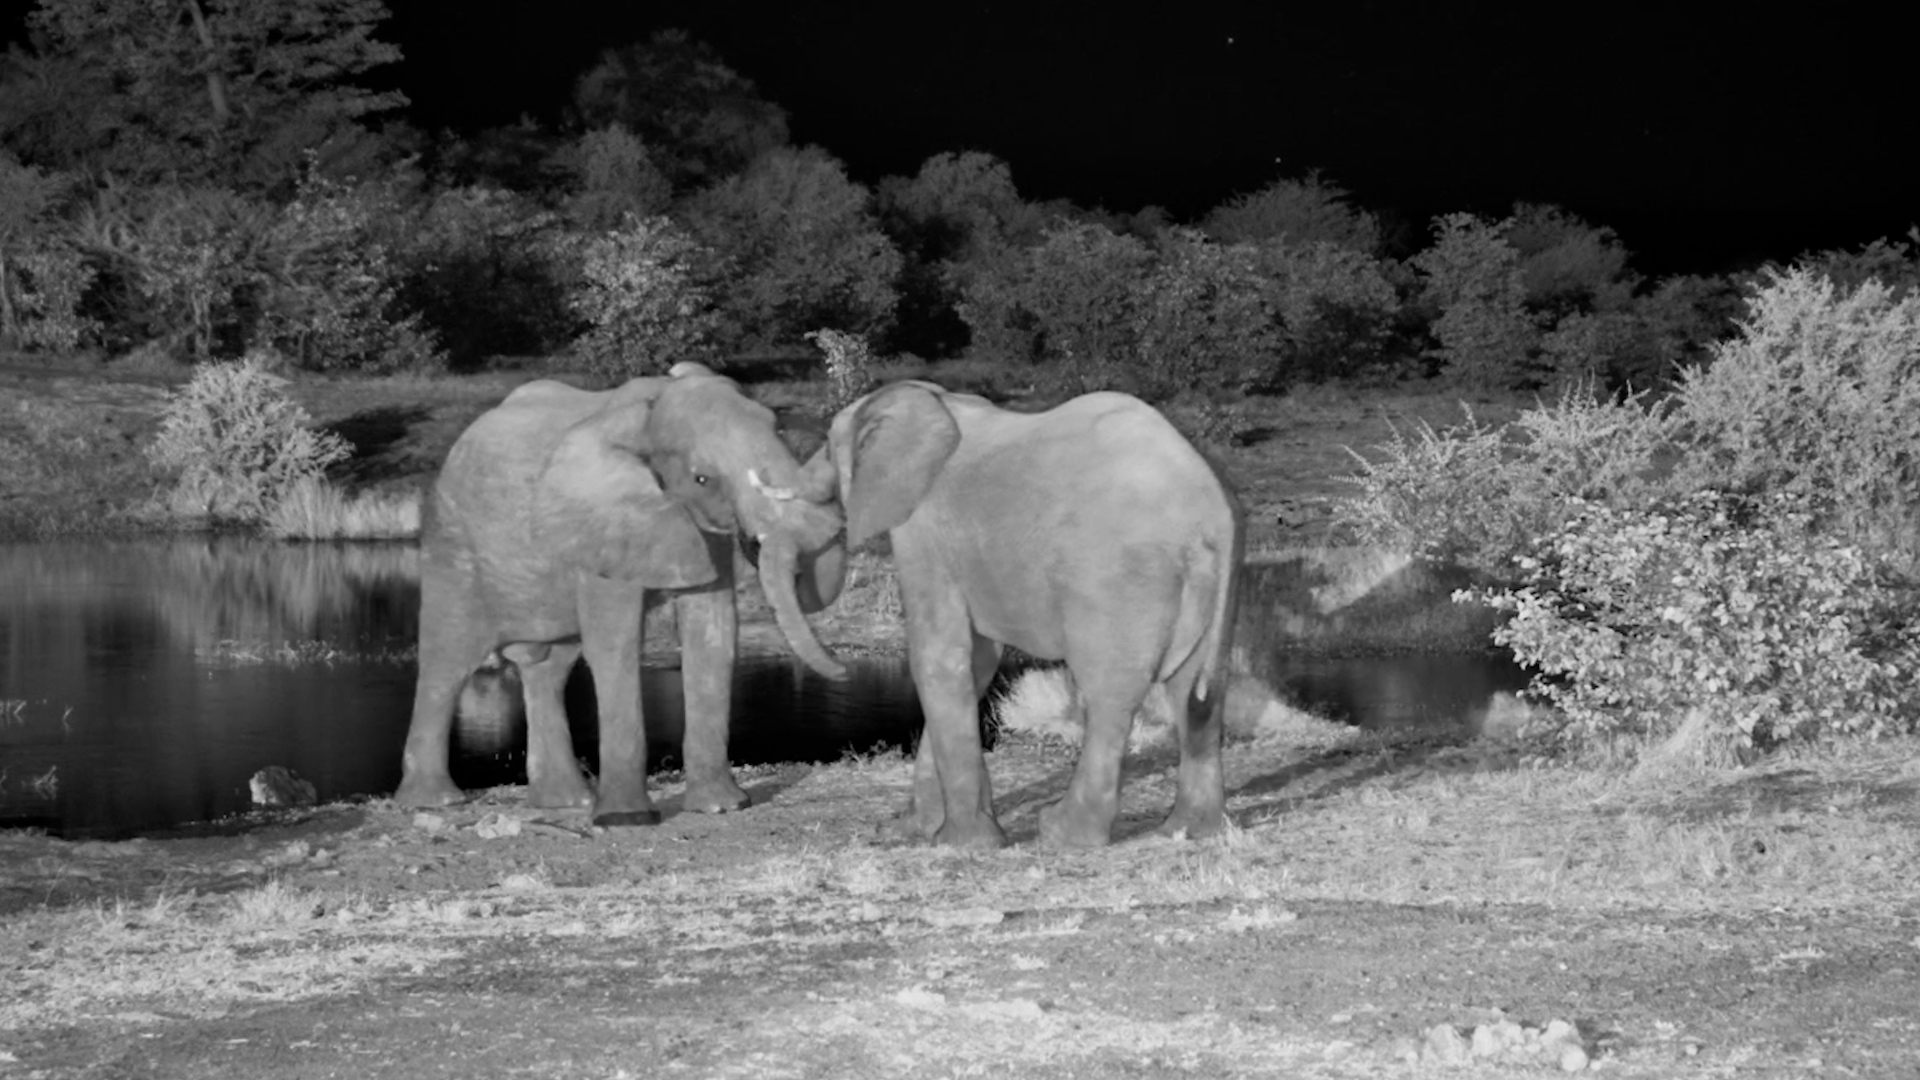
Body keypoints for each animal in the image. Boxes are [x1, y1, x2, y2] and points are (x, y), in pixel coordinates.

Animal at [394, 363, 848, 826]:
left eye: (778, 429)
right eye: (702, 478)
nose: (845, 671)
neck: (648, 415)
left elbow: (713, 636)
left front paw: (724, 807)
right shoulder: (603, 523)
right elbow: (616, 646)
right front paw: (627, 821)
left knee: (549, 667)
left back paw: (567, 801)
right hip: (452, 545)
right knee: (449, 660)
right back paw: (435, 802)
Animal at [795, 381, 1243, 847]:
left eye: (828, 450)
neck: (933, 400)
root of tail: (1214, 513)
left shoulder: (923, 531)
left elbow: (939, 659)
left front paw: (960, 843)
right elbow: (976, 663)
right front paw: (911, 830)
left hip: (1117, 577)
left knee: (1110, 696)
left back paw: (1062, 833)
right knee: (1197, 693)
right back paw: (1188, 831)